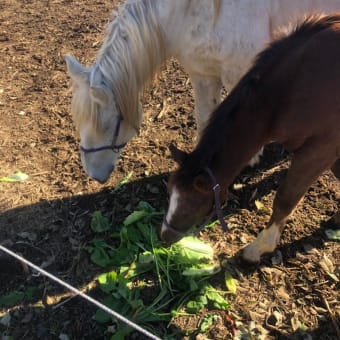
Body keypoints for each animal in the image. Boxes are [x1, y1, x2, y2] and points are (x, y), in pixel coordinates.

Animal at [64, 0, 340, 183]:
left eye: (111, 124)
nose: (95, 176)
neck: (189, 12)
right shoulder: (202, 74)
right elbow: (204, 116)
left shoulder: (239, 71)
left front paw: (251, 159)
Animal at [161, 13, 340, 262]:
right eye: (169, 191)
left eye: (192, 204)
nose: (164, 236)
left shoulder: (319, 150)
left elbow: (285, 197)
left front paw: (259, 248)